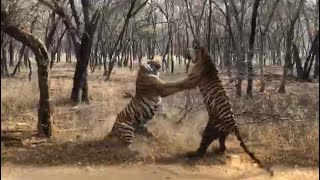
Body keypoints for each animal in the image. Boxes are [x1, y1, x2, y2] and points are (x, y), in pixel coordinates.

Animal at [166, 40, 274, 176]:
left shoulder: (190, 80)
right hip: (222, 133)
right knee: (223, 146)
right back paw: (217, 150)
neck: (206, 57)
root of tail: (234, 125)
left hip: (209, 130)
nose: (186, 49)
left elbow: (178, 83)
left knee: (203, 147)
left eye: (194, 48)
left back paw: (193, 154)